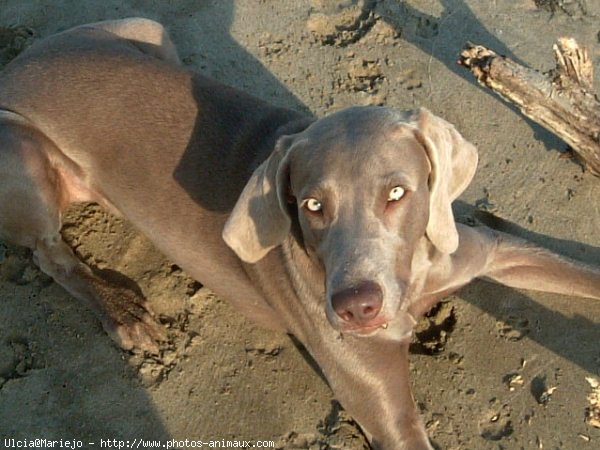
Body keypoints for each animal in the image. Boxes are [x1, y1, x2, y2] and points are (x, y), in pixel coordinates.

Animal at [0, 17, 596, 450]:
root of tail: (17, 62)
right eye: (312, 204)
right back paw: (124, 312)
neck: (413, 279)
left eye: (397, 193)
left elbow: (579, 271)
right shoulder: (384, 407)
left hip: (145, 29)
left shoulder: (486, 250)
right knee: (50, 255)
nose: (357, 308)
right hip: (22, 153)